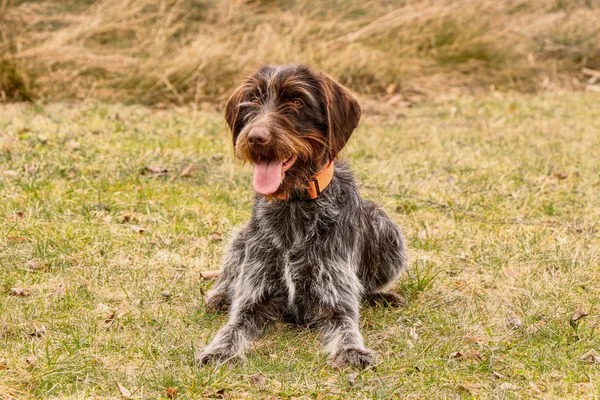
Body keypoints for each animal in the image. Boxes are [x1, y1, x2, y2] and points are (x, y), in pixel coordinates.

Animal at [197, 65, 408, 368]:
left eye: (297, 101)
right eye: (253, 100)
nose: (255, 138)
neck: (294, 204)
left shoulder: (335, 298)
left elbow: (346, 326)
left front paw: (353, 351)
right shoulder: (254, 296)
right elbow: (232, 326)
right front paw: (218, 350)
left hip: (387, 229)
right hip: (241, 238)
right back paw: (220, 294)